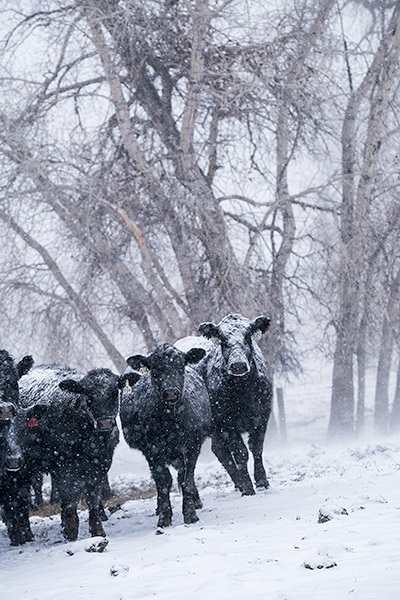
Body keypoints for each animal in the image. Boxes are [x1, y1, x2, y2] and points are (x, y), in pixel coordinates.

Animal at [18, 364, 137, 540]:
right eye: (88, 396)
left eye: (115, 392)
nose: (105, 423)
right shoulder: (64, 468)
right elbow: (69, 500)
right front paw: (70, 532)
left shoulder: (100, 466)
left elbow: (93, 498)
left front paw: (97, 530)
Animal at [120, 344, 211, 528]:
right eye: (155, 370)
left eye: (181, 367)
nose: (170, 393)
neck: (170, 423)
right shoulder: (151, 450)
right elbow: (163, 481)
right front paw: (164, 516)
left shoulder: (192, 447)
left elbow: (186, 479)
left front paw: (190, 514)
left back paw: (196, 501)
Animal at [197, 314, 272, 496]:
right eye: (222, 339)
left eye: (248, 336)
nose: (238, 365)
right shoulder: (227, 424)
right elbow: (241, 453)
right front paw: (248, 487)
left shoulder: (262, 417)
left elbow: (256, 448)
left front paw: (262, 481)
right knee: (222, 452)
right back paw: (240, 483)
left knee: (219, 450)